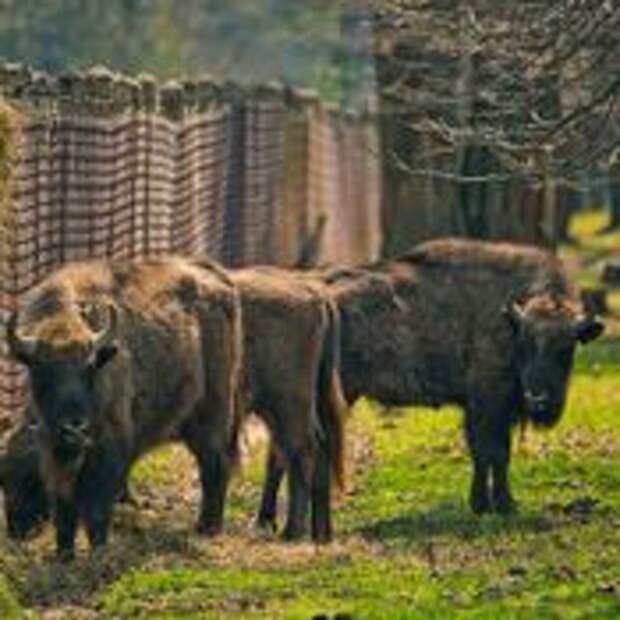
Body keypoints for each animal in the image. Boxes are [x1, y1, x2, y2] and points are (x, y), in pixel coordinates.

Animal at [0, 254, 242, 560]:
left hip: (210, 414)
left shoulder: (108, 450)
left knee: (215, 463)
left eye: (90, 368)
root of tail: (214, 275)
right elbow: (65, 508)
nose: (17, 530)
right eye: (42, 370)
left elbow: (97, 508)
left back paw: (207, 527)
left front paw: (98, 552)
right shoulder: (56, 454)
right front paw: (64, 555)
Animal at [260, 239, 604, 524]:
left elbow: (486, 455)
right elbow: (493, 453)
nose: (538, 398)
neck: (509, 320)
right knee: (283, 451)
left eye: (566, 348)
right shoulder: (488, 404)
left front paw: (486, 504)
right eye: (525, 343)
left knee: (280, 451)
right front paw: (500, 505)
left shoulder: (489, 409)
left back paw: (269, 520)